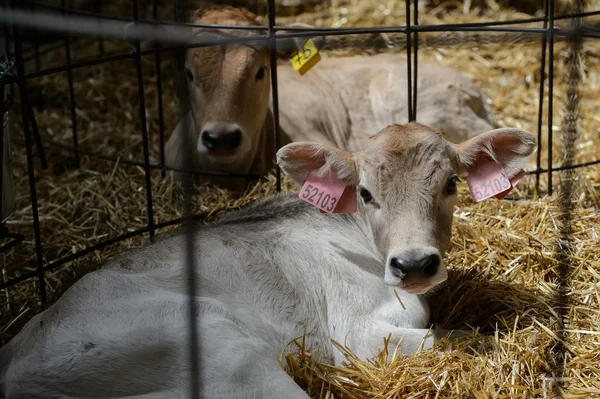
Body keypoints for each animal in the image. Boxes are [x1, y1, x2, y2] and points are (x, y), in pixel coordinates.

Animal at [0, 122, 536, 399]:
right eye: (365, 193)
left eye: (450, 183)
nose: (415, 264)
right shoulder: (358, 335)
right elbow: (467, 340)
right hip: (225, 353)